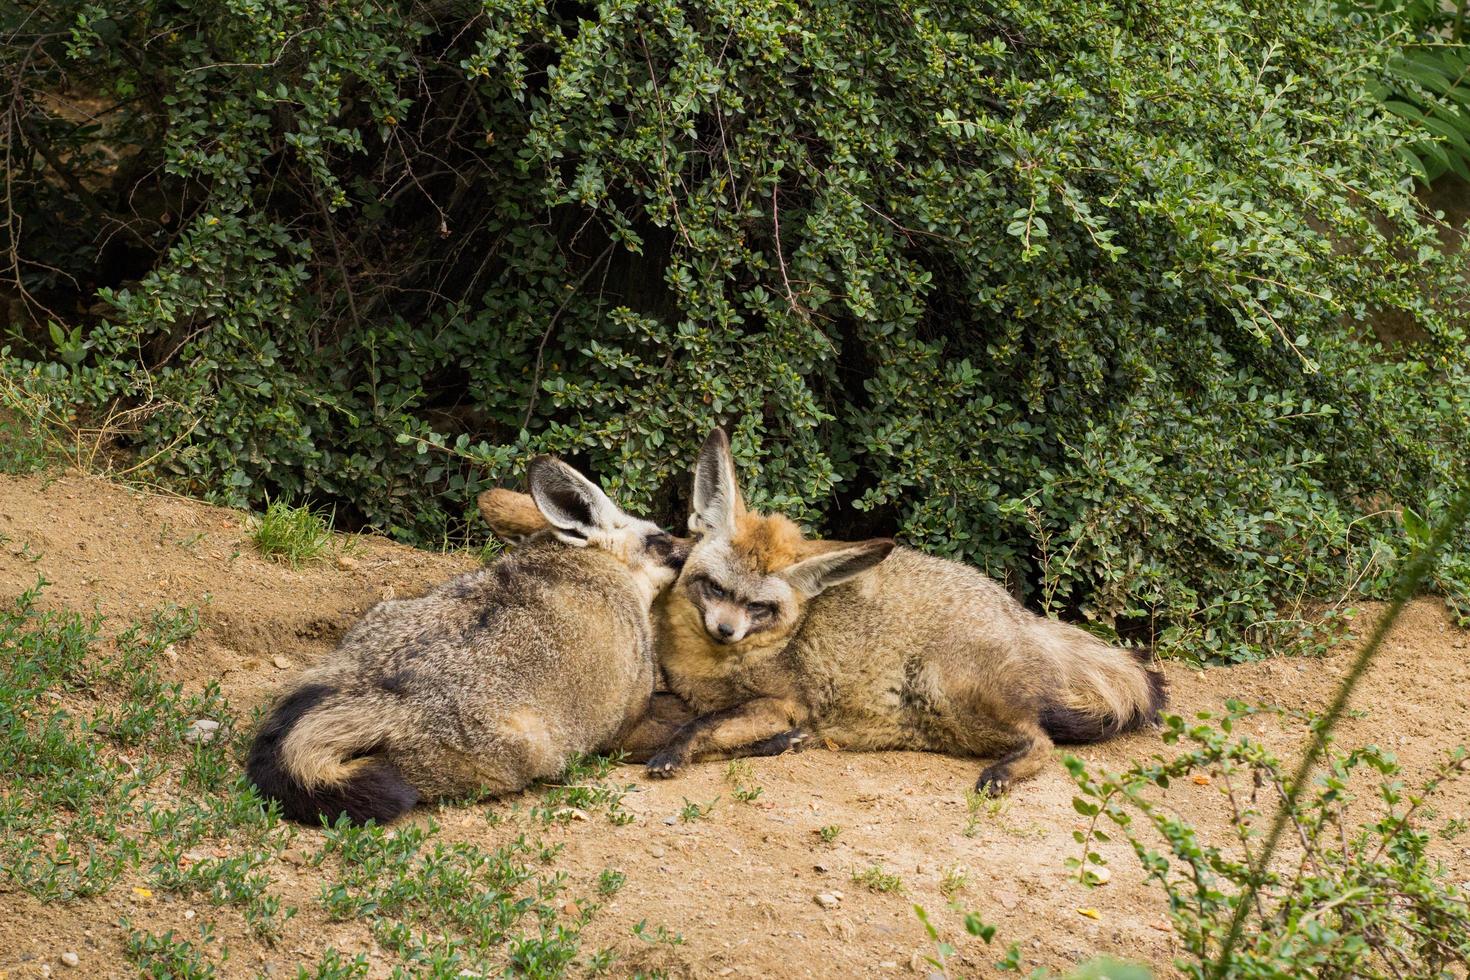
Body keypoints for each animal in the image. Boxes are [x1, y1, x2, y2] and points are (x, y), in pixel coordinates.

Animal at [649, 426, 1164, 787]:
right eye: (715, 588)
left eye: (759, 607)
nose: (725, 631)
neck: (712, 665)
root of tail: (1018, 613)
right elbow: (712, 724)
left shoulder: (785, 702)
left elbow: (706, 723)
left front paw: (675, 751)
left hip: (943, 690)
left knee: (1044, 741)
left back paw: (1003, 772)